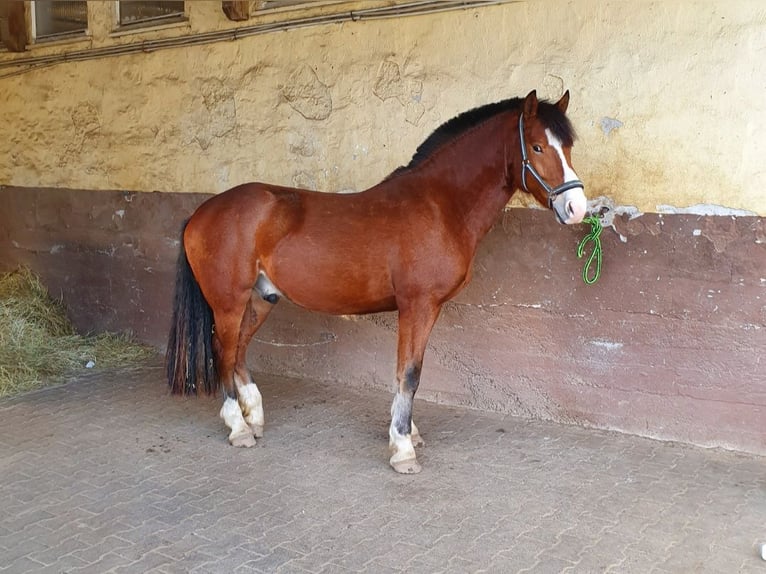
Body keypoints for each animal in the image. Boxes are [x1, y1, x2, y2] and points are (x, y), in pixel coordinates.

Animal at [168, 90, 588, 474]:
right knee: (222, 351)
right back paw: (238, 428)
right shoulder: (417, 306)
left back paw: (253, 417)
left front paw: (408, 433)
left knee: (238, 351)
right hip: (228, 302)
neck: (440, 206)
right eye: (537, 146)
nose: (577, 209)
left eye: (568, 146)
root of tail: (202, 211)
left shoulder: (427, 310)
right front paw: (403, 448)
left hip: (259, 300)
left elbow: (410, 370)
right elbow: (410, 374)